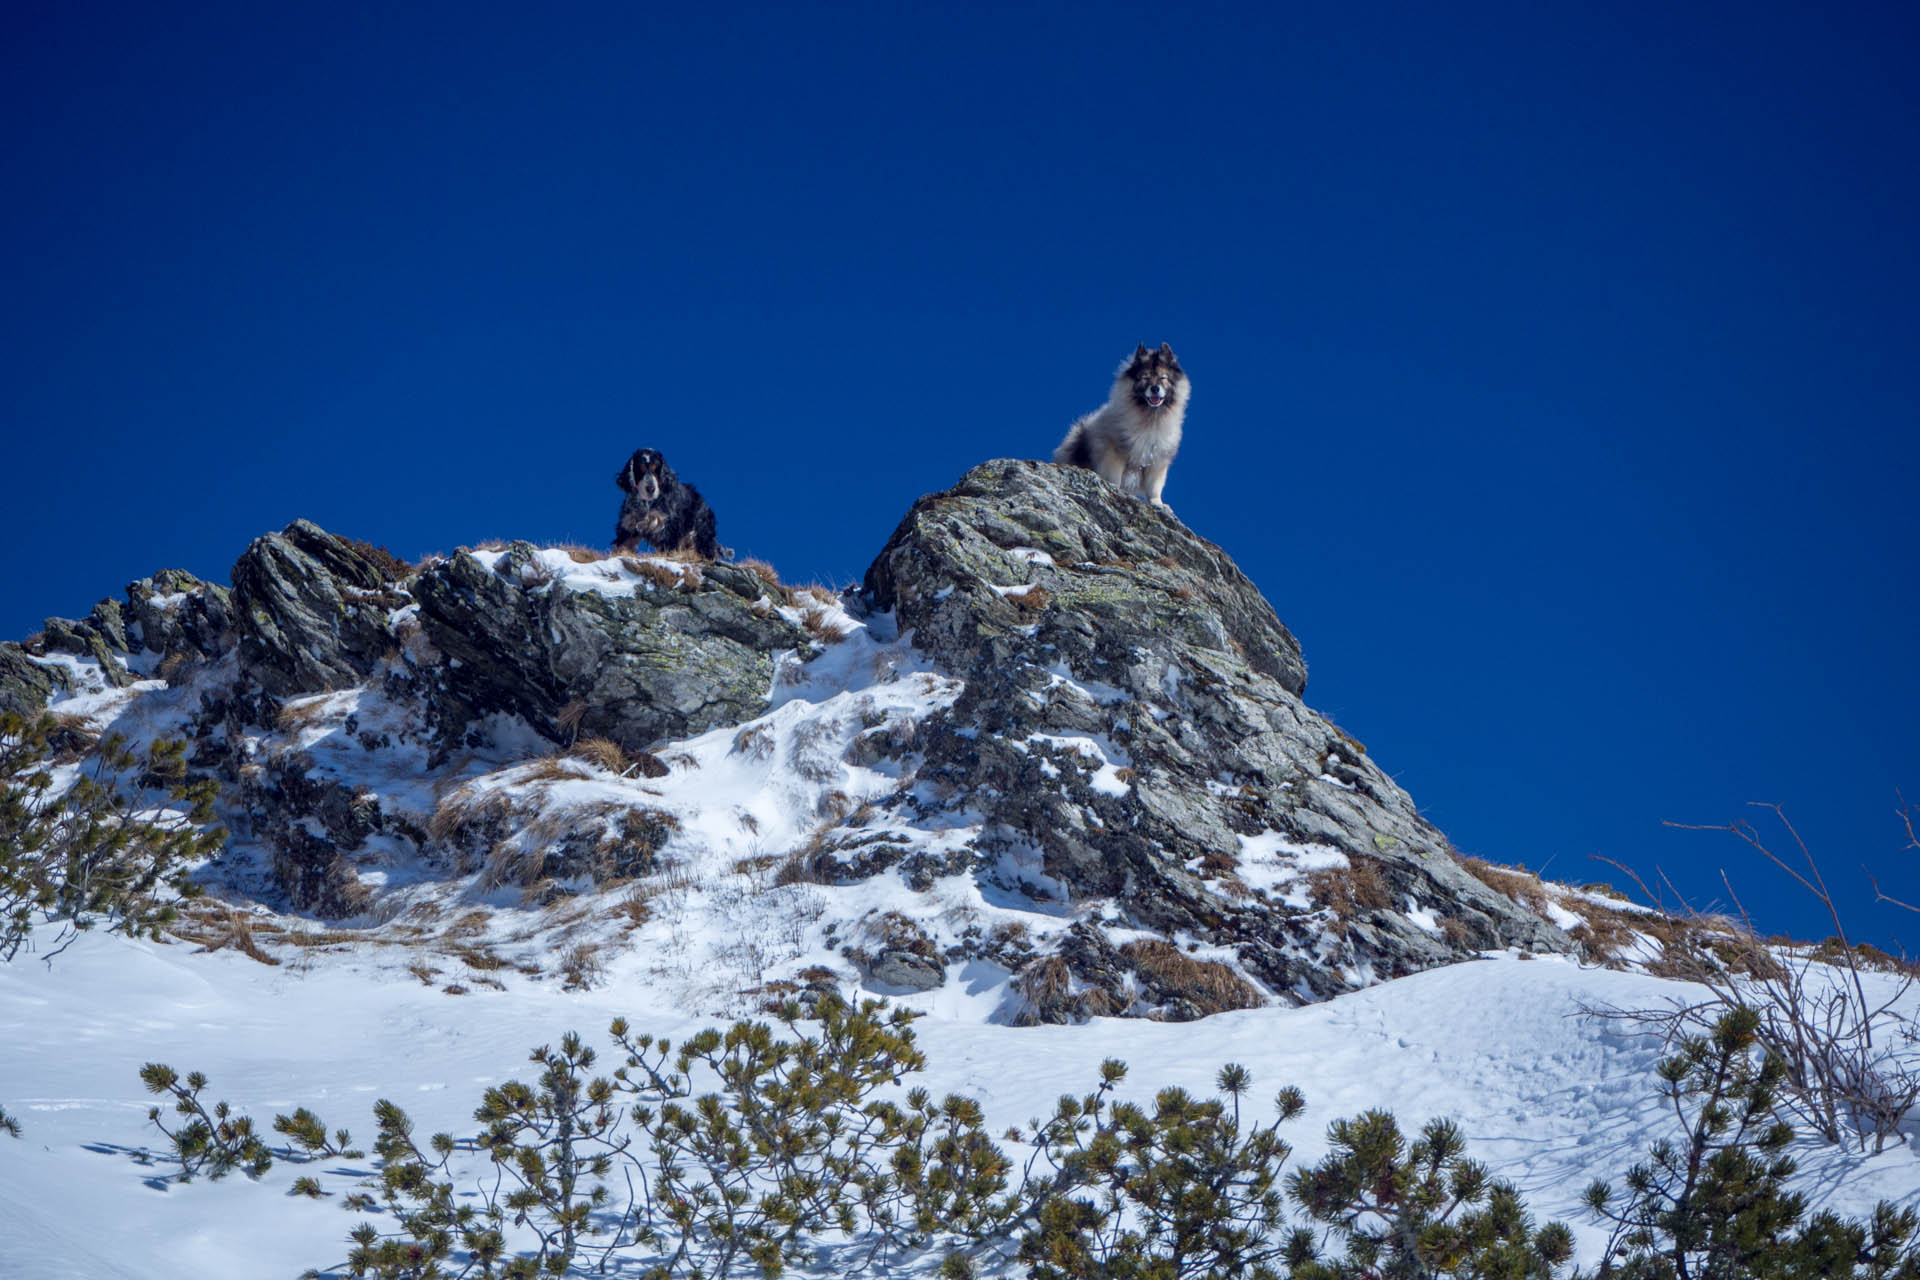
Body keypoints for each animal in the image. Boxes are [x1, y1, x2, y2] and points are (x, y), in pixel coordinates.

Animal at [1052, 343, 1182, 506]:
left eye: (1163, 377)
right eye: (1145, 377)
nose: (1154, 388)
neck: (1150, 418)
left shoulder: (1157, 462)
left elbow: (1154, 488)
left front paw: (1157, 503)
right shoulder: (1115, 453)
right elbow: (1114, 477)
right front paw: (1115, 490)